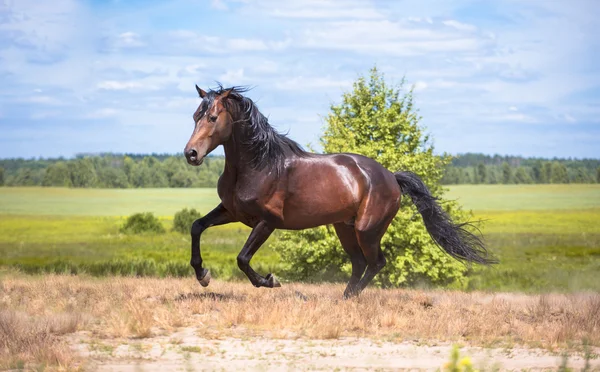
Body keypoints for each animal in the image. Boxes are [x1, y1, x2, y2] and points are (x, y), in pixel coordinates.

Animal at [183, 85, 496, 300]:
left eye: (213, 117)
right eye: (195, 116)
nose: (191, 154)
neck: (260, 165)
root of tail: (391, 177)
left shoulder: (267, 221)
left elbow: (242, 258)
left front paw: (270, 280)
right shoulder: (232, 211)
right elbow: (196, 226)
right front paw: (203, 276)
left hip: (367, 229)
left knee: (376, 262)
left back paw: (351, 296)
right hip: (344, 228)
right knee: (359, 263)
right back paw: (344, 297)